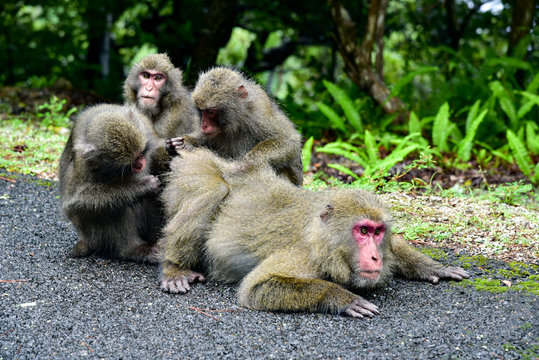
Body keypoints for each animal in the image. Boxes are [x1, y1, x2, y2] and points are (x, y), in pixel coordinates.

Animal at [58, 102, 170, 262]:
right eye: (131, 163)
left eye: (141, 153)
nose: (140, 164)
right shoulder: (83, 164)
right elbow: (77, 202)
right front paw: (144, 187)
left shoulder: (146, 127)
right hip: (94, 235)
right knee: (112, 208)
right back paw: (134, 250)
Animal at [159, 148, 468, 318]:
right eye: (363, 230)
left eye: (378, 232)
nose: (375, 258)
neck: (322, 240)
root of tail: (231, 166)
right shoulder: (304, 256)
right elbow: (257, 287)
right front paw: (341, 298)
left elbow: (398, 246)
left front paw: (432, 267)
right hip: (195, 172)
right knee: (213, 188)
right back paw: (174, 268)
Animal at [169, 66, 304, 186]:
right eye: (201, 111)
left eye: (210, 111)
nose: (204, 125)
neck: (234, 122)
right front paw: (187, 142)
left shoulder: (259, 110)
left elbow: (289, 141)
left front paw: (248, 163)